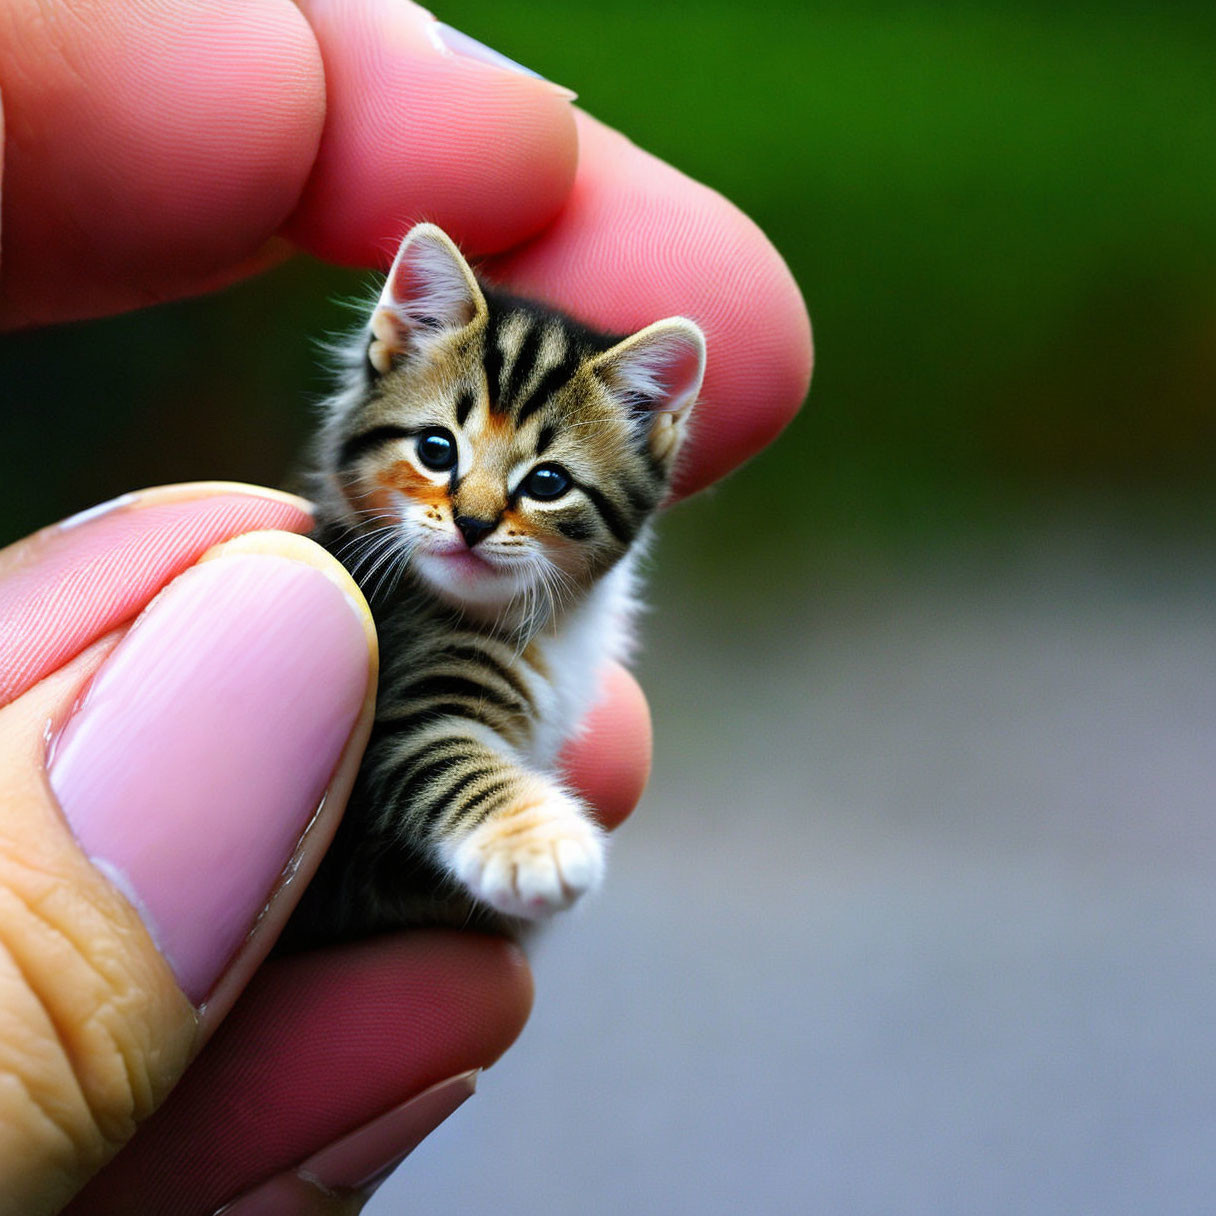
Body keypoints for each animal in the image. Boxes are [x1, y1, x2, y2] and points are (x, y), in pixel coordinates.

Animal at [284, 226, 705, 948]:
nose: (474, 523)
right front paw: (537, 844)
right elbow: (447, 758)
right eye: (436, 449)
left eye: (547, 483)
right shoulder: (395, 716)